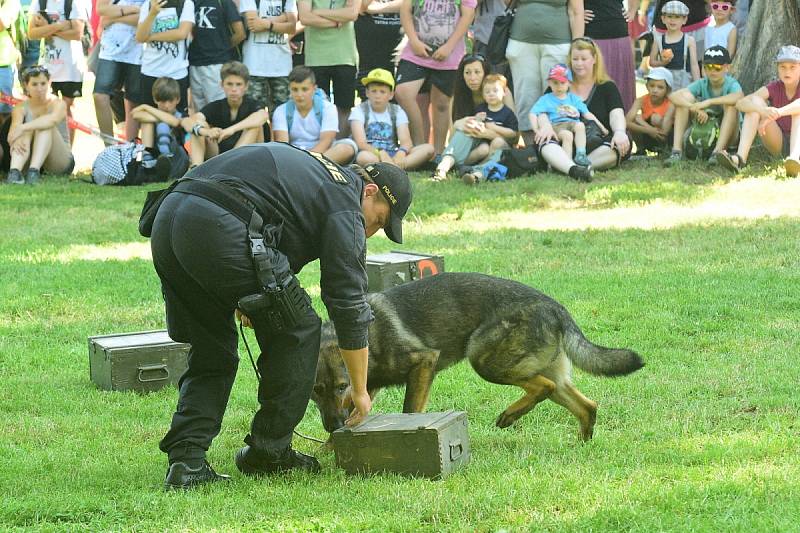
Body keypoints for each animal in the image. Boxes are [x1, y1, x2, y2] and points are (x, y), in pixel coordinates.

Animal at [312, 272, 644, 438]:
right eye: (316, 391)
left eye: (341, 386)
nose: (332, 426)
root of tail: (554, 307)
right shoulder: (368, 389)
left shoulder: (424, 362)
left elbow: (409, 410)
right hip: (547, 372)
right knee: (586, 405)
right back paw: (582, 444)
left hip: (484, 359)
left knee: (543, 387)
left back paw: (510, 416)